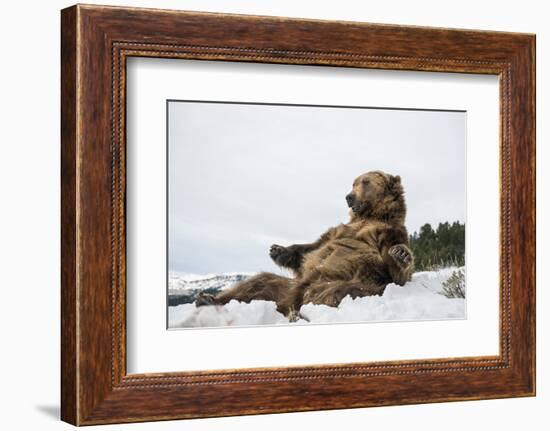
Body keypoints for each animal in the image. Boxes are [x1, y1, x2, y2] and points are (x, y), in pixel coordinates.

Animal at [196, 171, 416, 320]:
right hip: (283, 286)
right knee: (257, 283)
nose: (349, 197)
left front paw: (400, 254)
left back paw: (299, 315)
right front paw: (277, 250)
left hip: (342, 282)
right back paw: (208, 299)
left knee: (337, 292)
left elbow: (394, 270)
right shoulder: (339, 231)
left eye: (366, 181)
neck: (371, 216)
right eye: (354, 183)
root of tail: (290, 300)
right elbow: (312, 248)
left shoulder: (388, 233)